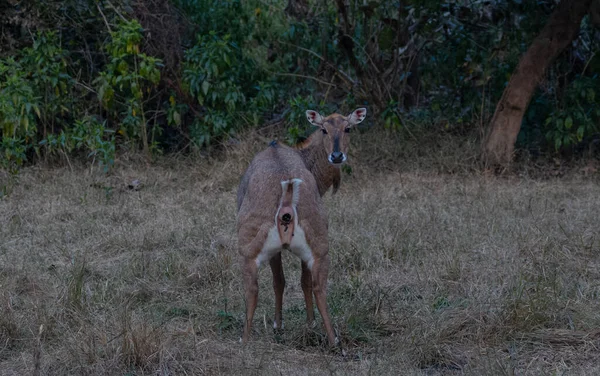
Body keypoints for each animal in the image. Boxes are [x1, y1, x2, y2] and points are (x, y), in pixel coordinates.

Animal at [237, 107, 368, 346]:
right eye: (324, 129)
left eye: (348, 128)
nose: (337, 156)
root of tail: (287, 201)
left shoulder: (275, 251)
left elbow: (280, 281)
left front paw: (279, 325)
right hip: (319, 249)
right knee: (318, 287)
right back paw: (334, 341)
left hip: (248, 252)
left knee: (253, 289)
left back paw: (245, 339)